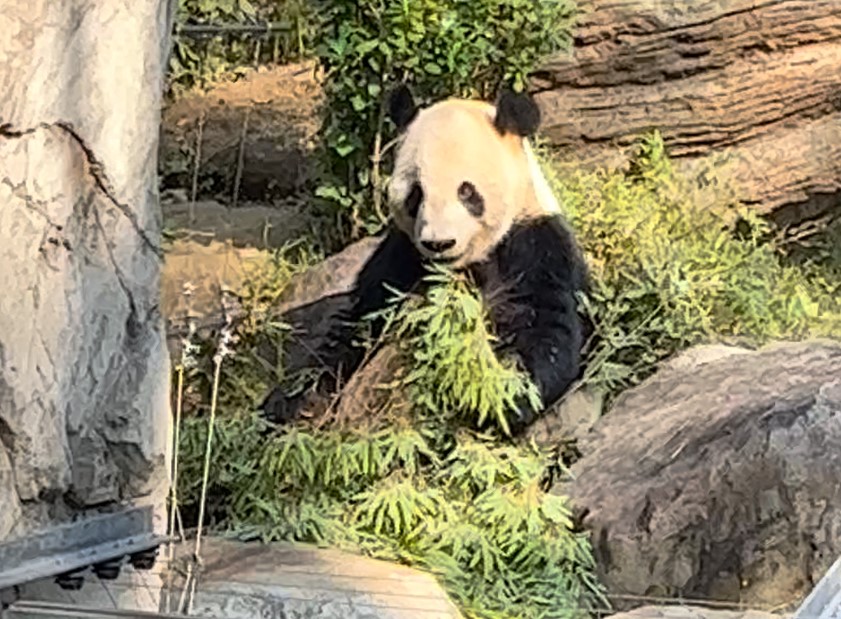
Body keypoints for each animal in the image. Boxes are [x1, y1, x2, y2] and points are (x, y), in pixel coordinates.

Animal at [260, 85, 591, 435]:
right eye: (416, 193)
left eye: (467, 192)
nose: (439, 243)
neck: (461, 266)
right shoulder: (401, 255)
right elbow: (359, 320)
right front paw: (290, 402)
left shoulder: (534, 244)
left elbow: (541, 323)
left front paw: (500, 393)